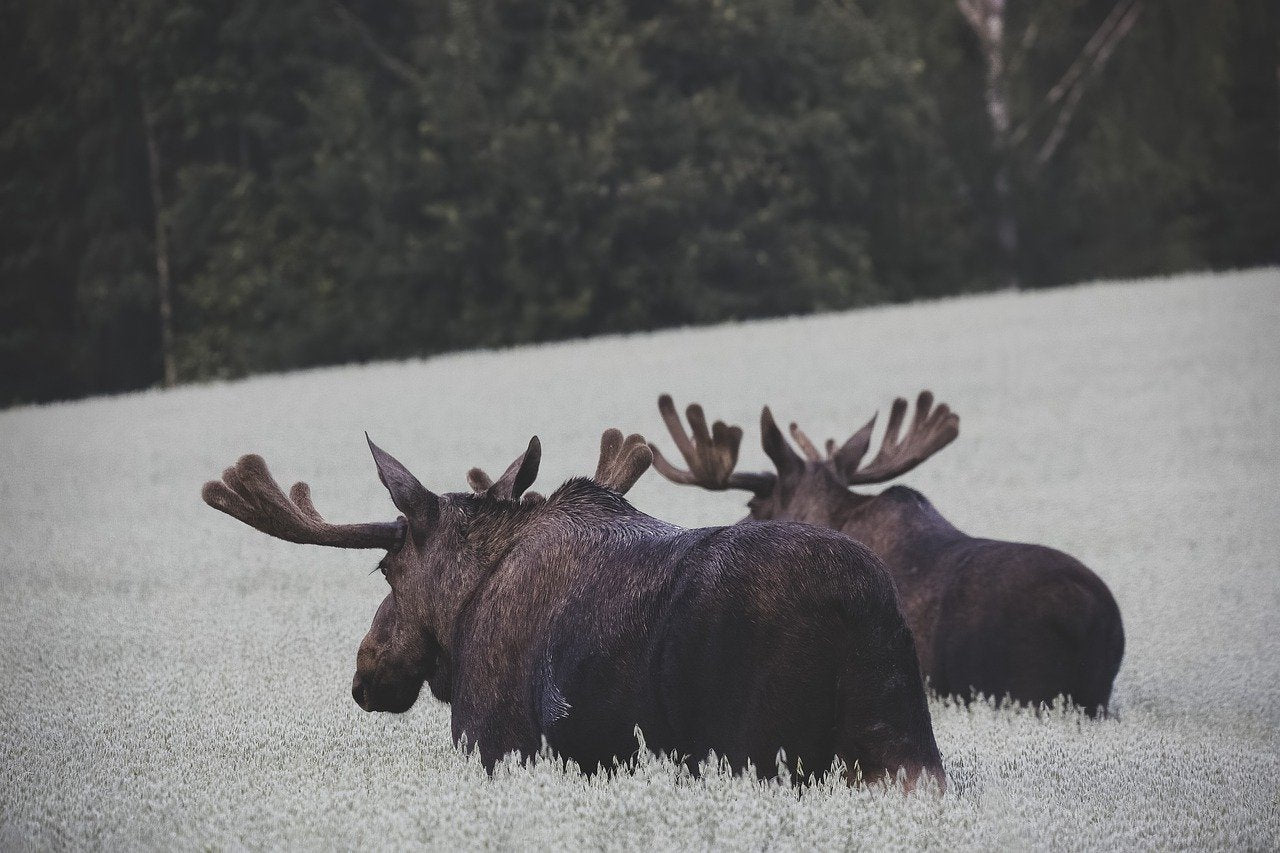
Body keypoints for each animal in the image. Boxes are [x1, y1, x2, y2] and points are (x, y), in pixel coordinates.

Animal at [204, 427, 947, 788]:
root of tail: (862, 614)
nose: (367, 671)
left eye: (386, 568)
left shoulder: (496, 741)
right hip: (906, 750)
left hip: (758, 749)